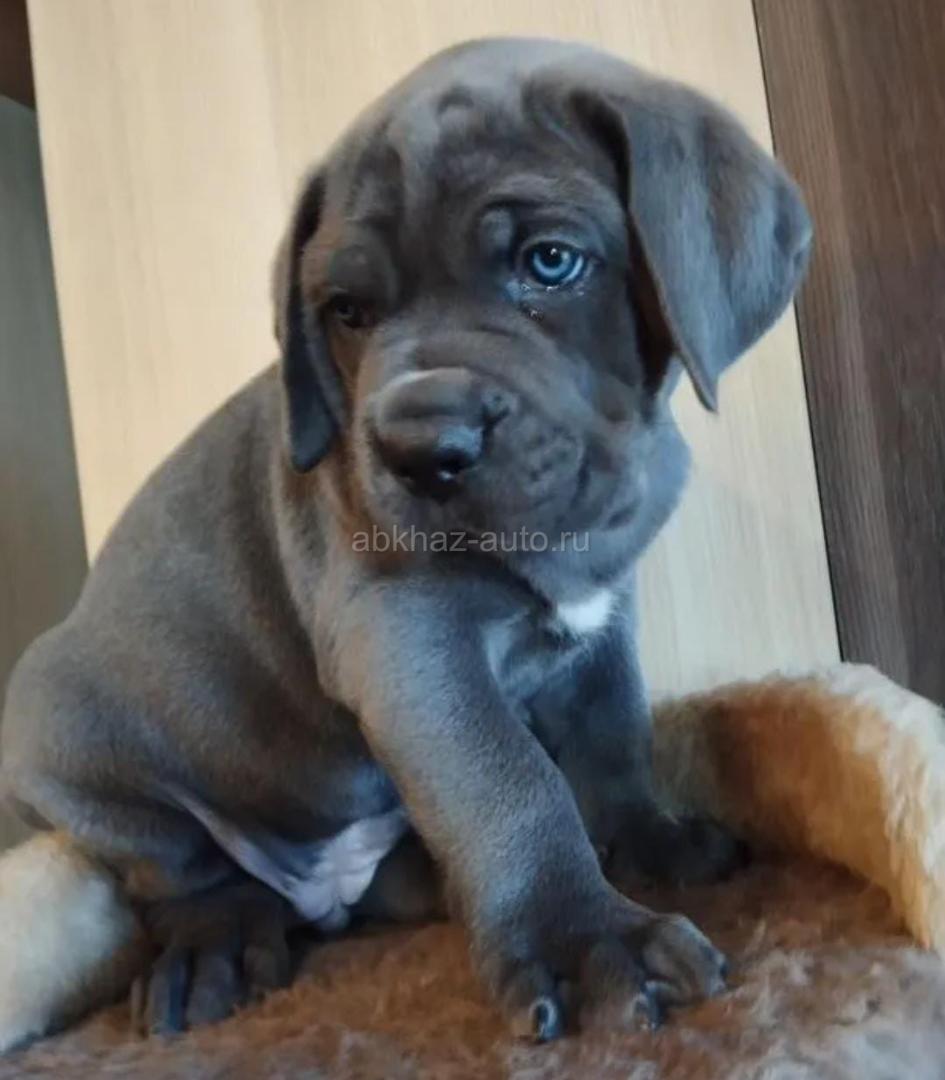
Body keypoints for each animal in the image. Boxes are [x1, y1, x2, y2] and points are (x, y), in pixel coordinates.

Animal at [1, 38, 811, 1041]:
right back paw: (215, 945)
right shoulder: (405, 638)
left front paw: (647, 840)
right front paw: (584, 937)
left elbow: (613, 734)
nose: (422, 449)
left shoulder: (604, 618)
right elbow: (506, 779)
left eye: (550, 263)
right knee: (178, 871)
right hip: (60, 733)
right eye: (345, 309)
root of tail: (323, 898)